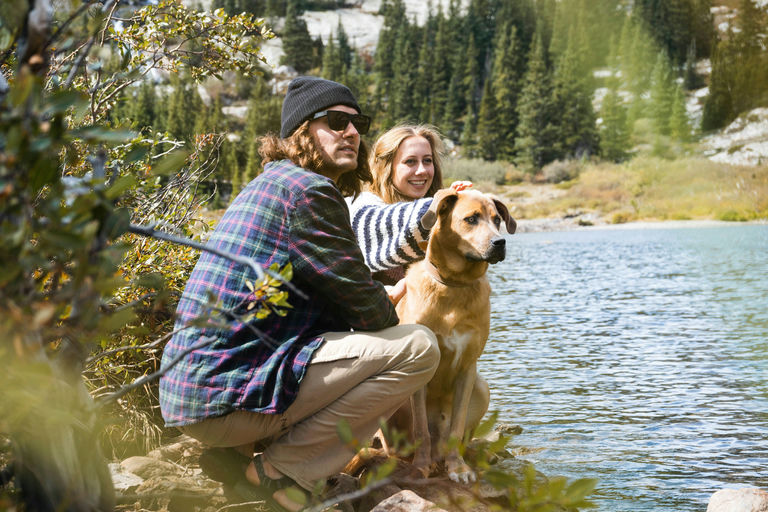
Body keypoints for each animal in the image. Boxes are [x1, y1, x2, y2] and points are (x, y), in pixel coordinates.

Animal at [396, 186, 516, 482]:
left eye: (497, 219)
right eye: (471, 219)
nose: (500, 243)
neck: (454, 286)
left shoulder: (467, 368)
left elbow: (457, 427)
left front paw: (458, 468)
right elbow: (421, 429)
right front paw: (419, 467)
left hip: (482, 388)